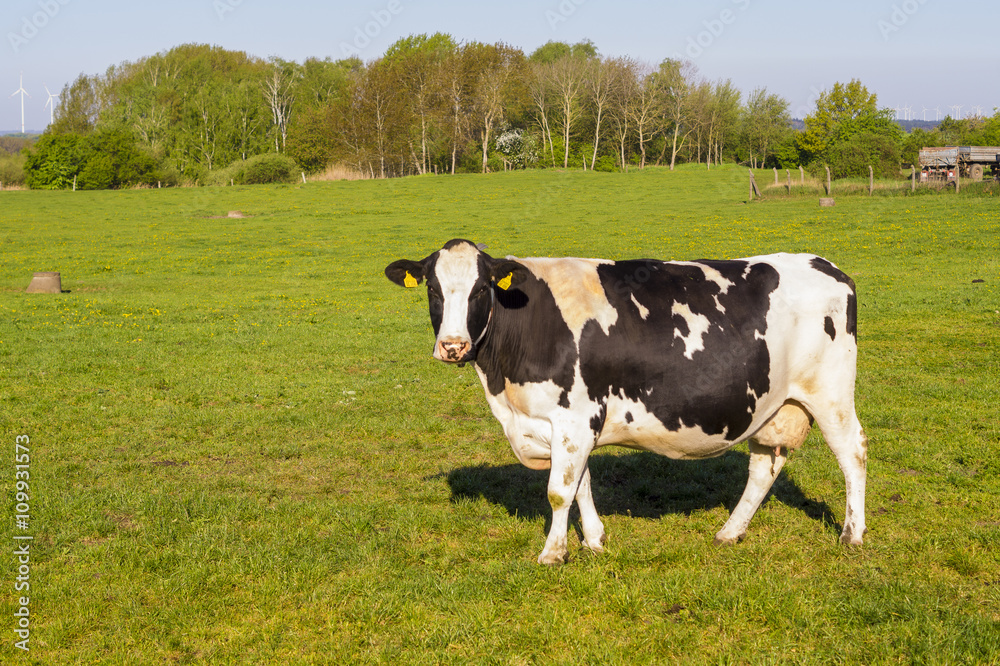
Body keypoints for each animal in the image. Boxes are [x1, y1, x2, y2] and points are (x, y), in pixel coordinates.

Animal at [384, 239, 868, 560]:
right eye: (433, 289)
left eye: (481, 289)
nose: (452, 345)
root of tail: (825, 265)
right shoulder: (564, 426)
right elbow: (581, 483)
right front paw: (594, 541)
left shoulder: (574, 417)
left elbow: (559, 491)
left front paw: (553, 553)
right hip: (774, 405)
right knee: (765, 466)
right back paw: (729, 532)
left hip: (831, 394)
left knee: (854, 453)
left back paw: (852, 534)